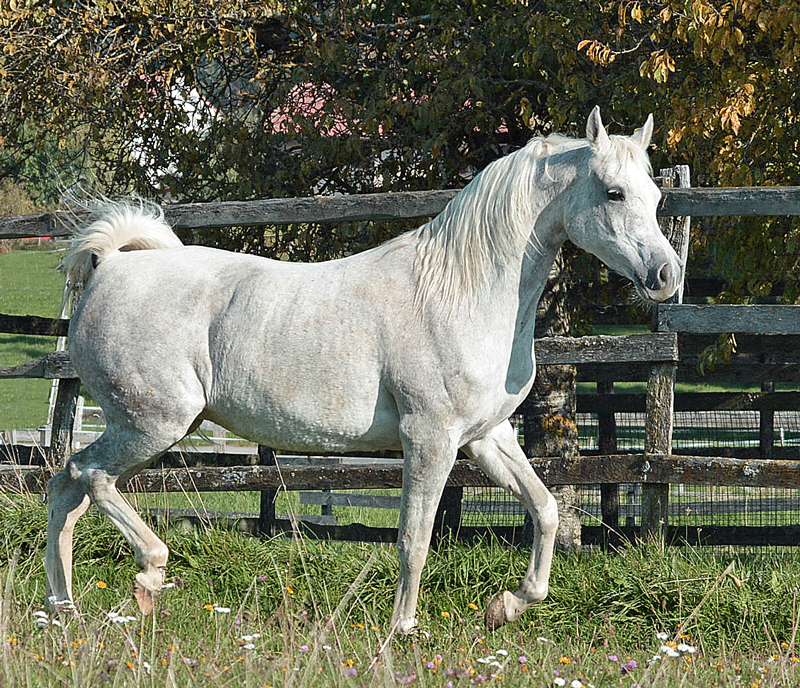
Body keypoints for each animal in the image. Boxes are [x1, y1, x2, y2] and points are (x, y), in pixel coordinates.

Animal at [46, 107, 681, 634]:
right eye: (614, 192)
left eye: (655, 196)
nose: (666, 276)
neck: (462, 291)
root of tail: (109, 267)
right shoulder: (429, 439)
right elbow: (415, 539)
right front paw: (403, 630)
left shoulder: (485, 437)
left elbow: (546, 509)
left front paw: (507, 606)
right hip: (153, 424)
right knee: (86, 475)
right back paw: (148, 574)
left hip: (143, 428)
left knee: (66, 487)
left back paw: (64, 611)